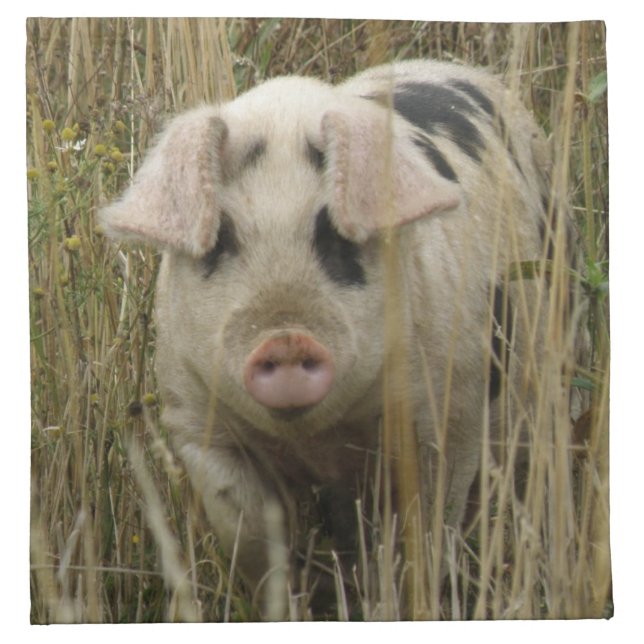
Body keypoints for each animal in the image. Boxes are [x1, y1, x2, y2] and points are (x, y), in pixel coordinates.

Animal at [101, 59, 555, 618]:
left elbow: (424, 531)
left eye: (335, 234)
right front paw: (298, 600)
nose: (286, 340)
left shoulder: (449, 415)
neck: (318, 441)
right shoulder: (197, 423)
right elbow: (251, 535)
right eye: (222, 238)